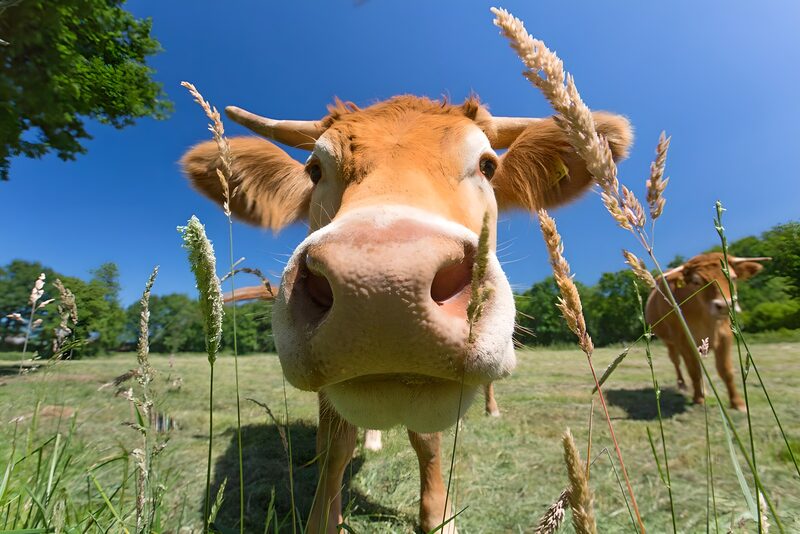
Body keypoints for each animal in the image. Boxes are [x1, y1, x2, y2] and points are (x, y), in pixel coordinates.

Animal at [182, 95, 632, 533]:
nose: (382, 290)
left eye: (488, 165)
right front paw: (324, 517)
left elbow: (427, 442)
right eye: (314, 170)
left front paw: (437, 517)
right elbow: (334, 447)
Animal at [645, 252, 769, 411]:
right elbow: (693, 370)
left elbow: (726, 370)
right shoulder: (683, 340)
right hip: (669, 342)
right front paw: (698, 398)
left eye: (733, 278)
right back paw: (683, 385)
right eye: (696, 282)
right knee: (676, 361)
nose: (725, 305)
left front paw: (737, 403)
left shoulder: (725, 335)